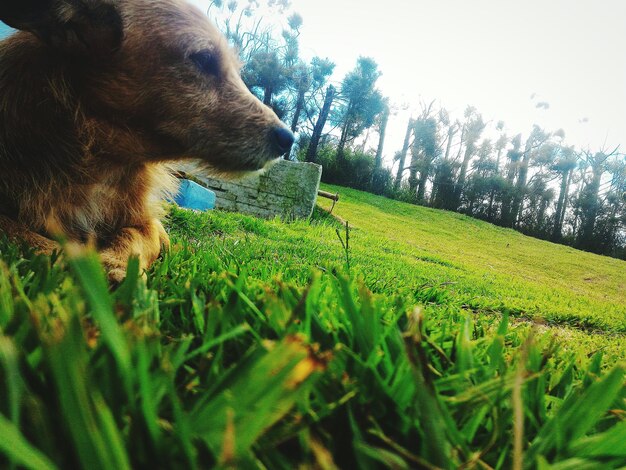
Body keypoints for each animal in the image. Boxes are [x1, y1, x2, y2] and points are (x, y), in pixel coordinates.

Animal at [0, 0, 292, 280]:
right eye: (203, 58)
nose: (287, 139)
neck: (99, 164)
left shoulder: (147, 223)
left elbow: (135, 236)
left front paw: (115, 265)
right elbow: (22, 235)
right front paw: (79, 261)